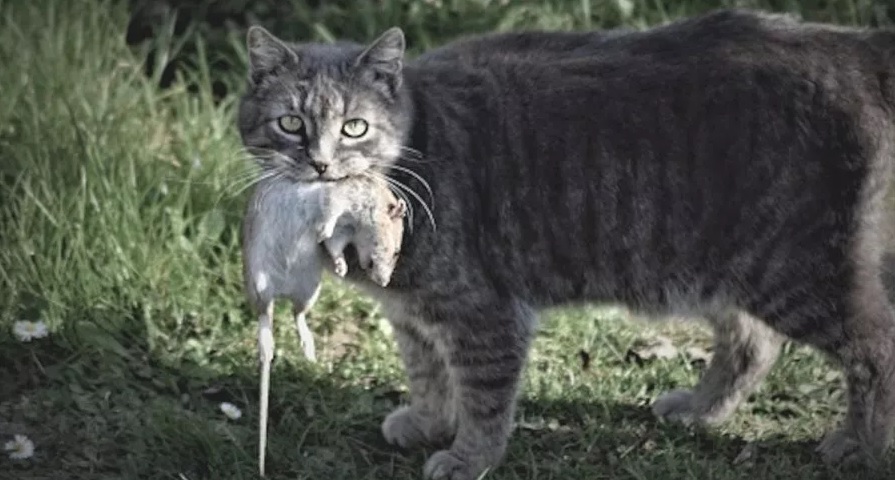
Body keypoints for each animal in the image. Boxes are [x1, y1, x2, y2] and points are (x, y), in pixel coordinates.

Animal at [236, 10, 895, 480]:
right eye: (291, 123)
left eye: (355, 127)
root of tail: (844, 44)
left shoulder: (483, 314)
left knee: (875, 346)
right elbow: (428, 374)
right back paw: (700, 410)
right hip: (719, 267)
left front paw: (470, 457)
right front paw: (427, 421)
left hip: (796, 270)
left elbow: (482, 395)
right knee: (752, 345)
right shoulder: (414, 314)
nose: (321, 163)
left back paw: (858, 446)